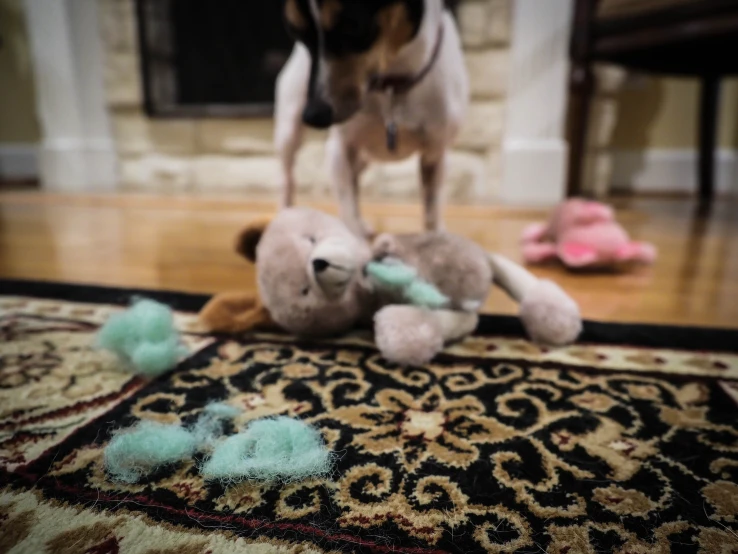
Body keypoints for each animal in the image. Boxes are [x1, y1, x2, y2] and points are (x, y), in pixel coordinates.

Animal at [274, 0, 468, 235]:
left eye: (354, 26)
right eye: (295, 32)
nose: (313, 115)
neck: (392, 85)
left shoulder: (436, 155)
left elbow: (432, 213)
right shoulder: (340, 150)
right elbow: (347, 206)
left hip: (364, 157)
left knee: (355, 178)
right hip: (289, 133)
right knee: (287, 179)